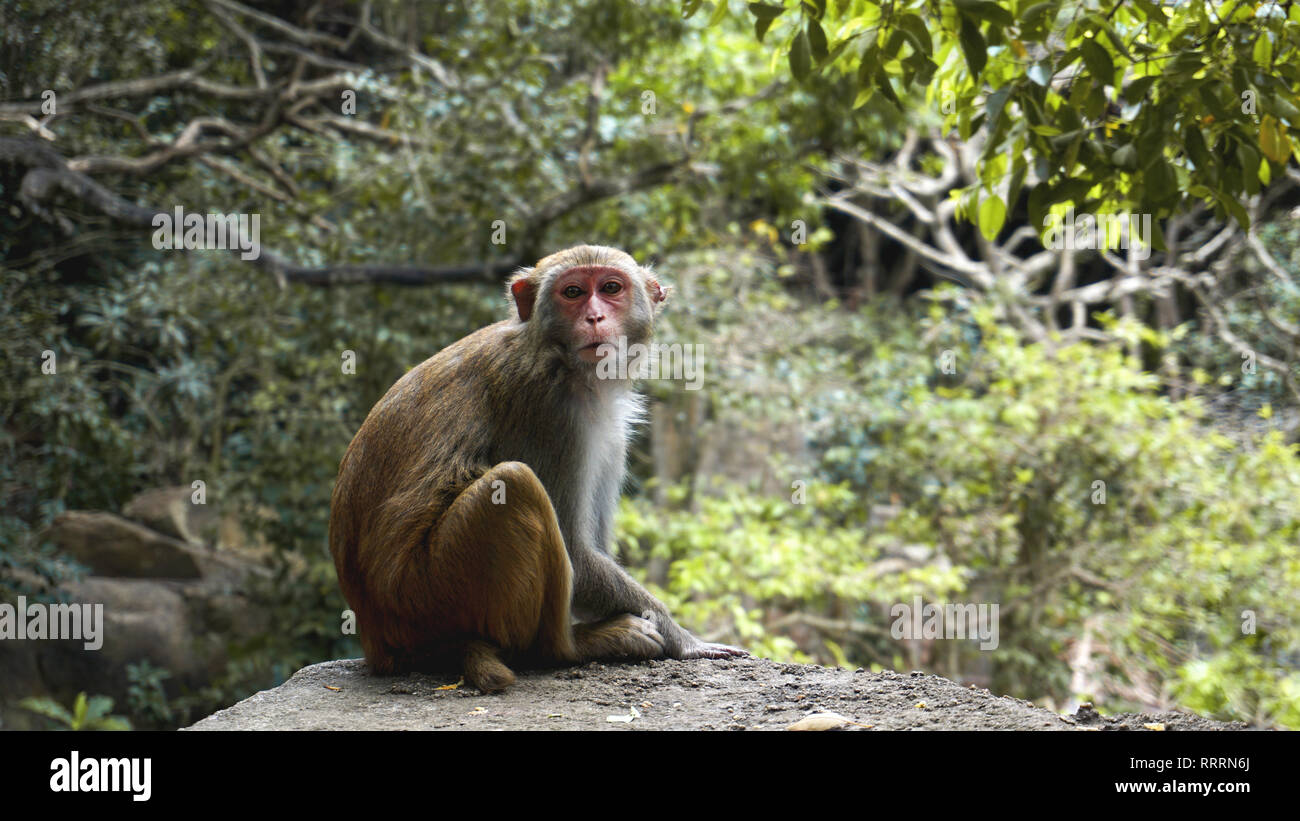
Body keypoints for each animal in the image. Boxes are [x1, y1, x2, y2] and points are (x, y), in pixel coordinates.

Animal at [329, 244, 746, 692]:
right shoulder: (545, 406)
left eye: (611, 288)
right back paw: (570, 647)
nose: (594, 317)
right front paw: (685, 639)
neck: (558, 357)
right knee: (515, 483)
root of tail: (378, 639)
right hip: (428, 592)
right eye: (573, 292)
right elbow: (577, 552)